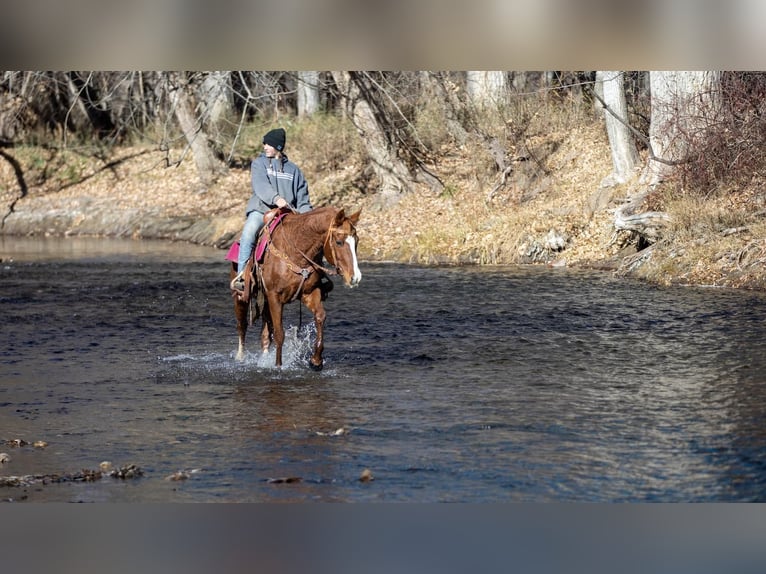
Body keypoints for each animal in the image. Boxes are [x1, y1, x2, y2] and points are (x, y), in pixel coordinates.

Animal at [228, 206, 364, 368]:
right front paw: (278, 366)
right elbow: (279, 334)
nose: (355, 277)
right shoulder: (274, 296)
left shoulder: (310, 292)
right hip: (241, 297)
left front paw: (316, 360)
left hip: (265, 301)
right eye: (338, 242)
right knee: (241, 326)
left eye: (356, 241)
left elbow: (320, 316)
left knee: (265, 332)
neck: (295, 251)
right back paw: (240, 357)